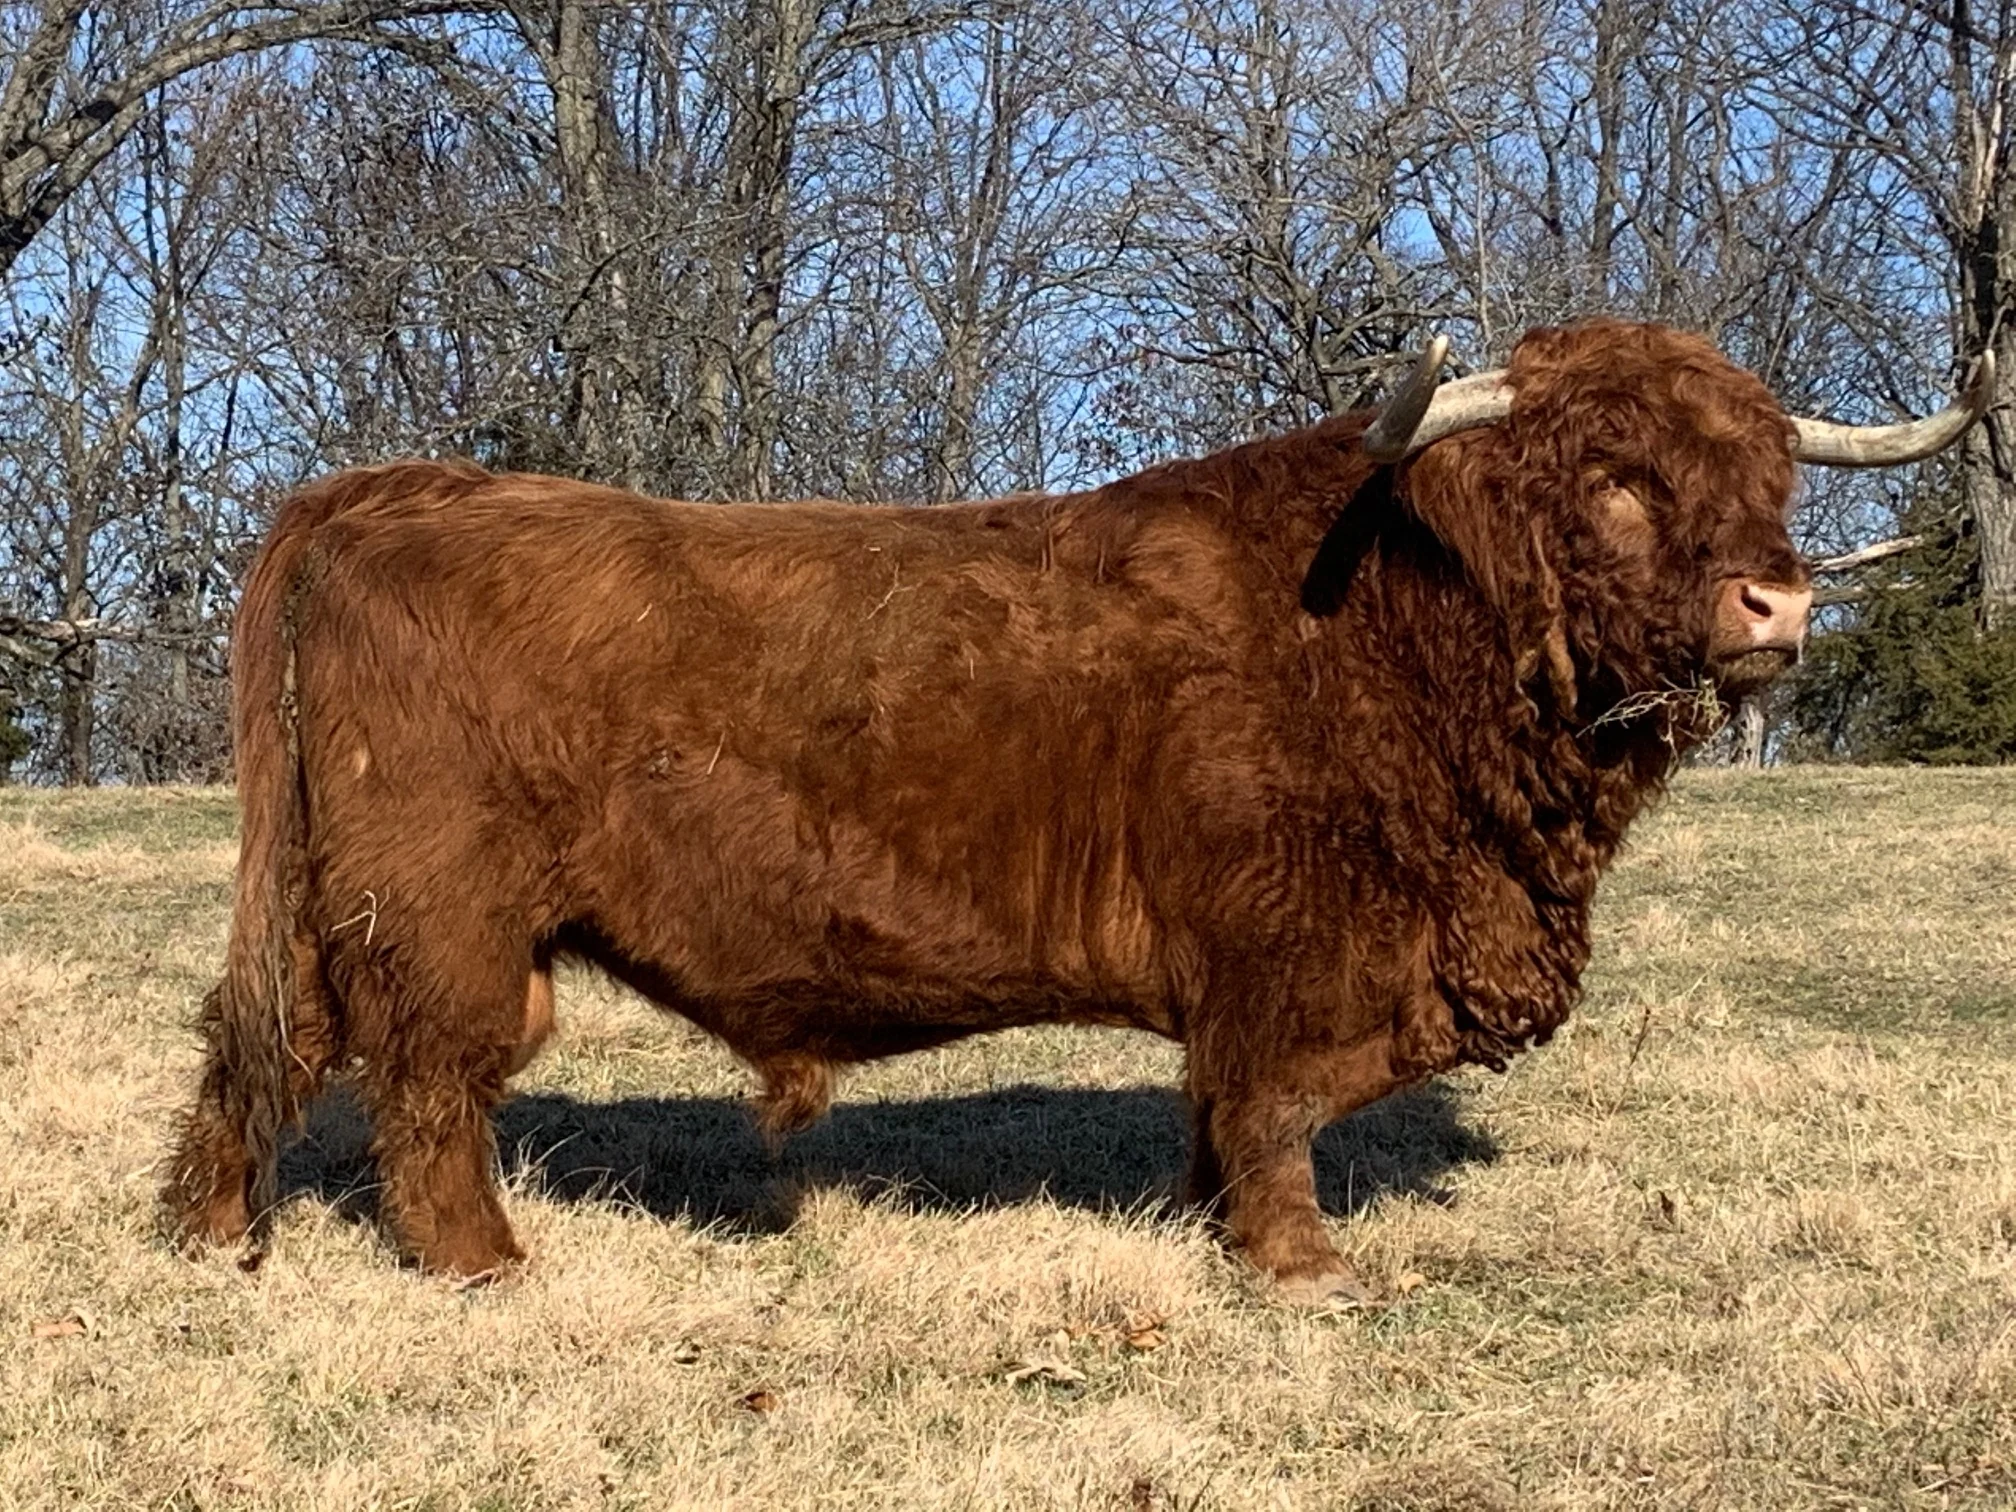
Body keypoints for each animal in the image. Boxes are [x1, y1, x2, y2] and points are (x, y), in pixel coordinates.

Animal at [161, 319, 1991, 1302]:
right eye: (1610, 482)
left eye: (1768, 471)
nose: (1779, 602)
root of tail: (384, 489)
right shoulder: (1284, 943)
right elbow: (1269, 1108)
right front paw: (1303, 1267)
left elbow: (1220, 1115)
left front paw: (1210, 1225)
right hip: (445, 915)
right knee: (426, 1090)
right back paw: (483, 1261)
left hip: (336, 906)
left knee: (258, 1051)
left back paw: (214, 1236)